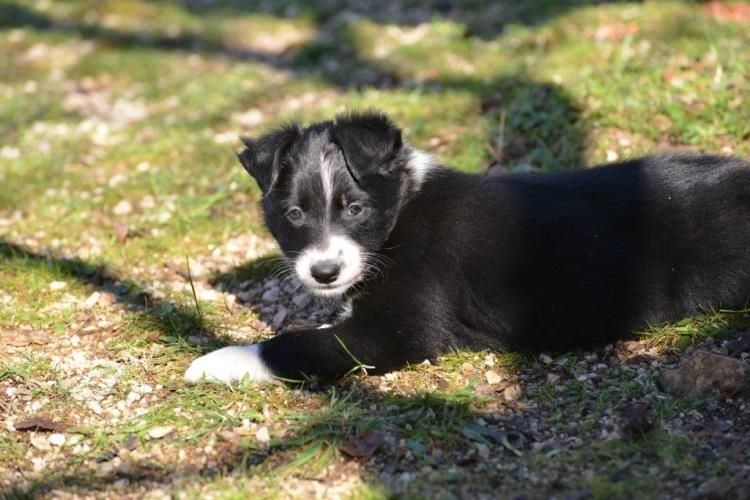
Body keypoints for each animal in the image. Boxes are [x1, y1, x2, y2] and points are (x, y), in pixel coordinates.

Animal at [185, 109, 750, 382]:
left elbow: (298, 343)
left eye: (355, 209)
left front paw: (216, 362)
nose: (324, 272)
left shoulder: (399, 331)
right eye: (294, 214)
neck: (400, 214)